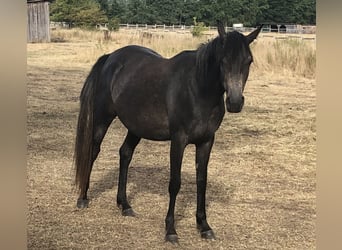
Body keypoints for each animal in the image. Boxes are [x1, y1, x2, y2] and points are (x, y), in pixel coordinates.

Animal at [74, 22, 262, 243]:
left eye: (249, 61)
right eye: (223, 61)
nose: (234, 102)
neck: (197, 89)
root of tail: (110, 57)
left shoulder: (206, 141)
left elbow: (201, 181)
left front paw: (204, 226)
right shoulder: (178, 140)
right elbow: (175, 183)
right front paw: (171, 230)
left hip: (136, 126)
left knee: (125, 154)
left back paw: (125, 205)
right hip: (102, 119)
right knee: (93, 152)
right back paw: (83, 198)